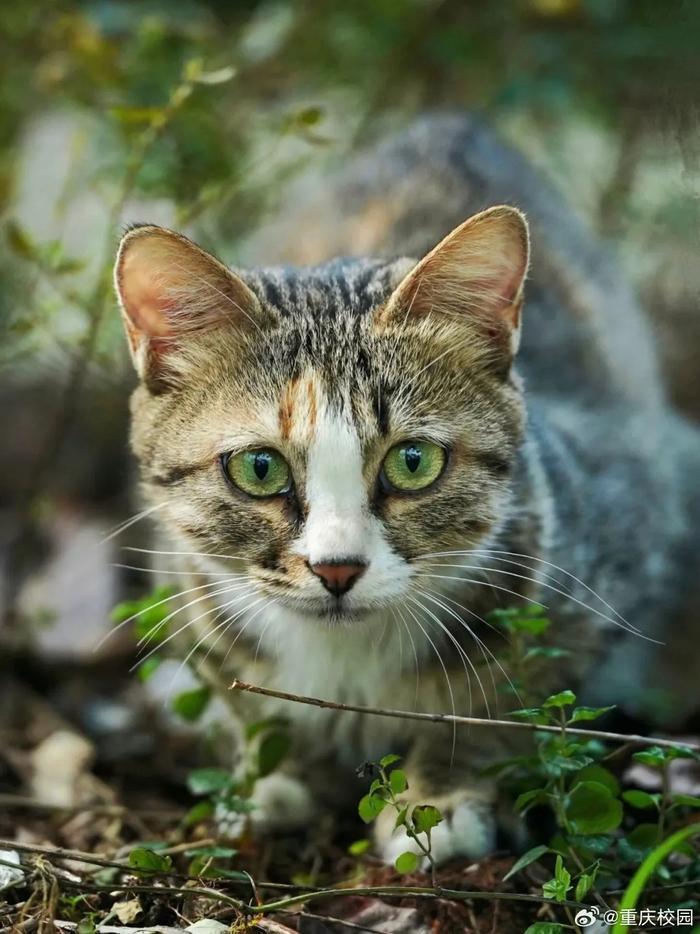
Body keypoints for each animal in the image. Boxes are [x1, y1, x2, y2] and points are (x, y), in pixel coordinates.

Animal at [112, 113, 700, 868]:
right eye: (260, 469)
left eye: (413, 461)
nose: (337, 569)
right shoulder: (187, 584)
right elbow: (245, 693)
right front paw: (280, 775)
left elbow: (502, 698)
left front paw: (440, 797)